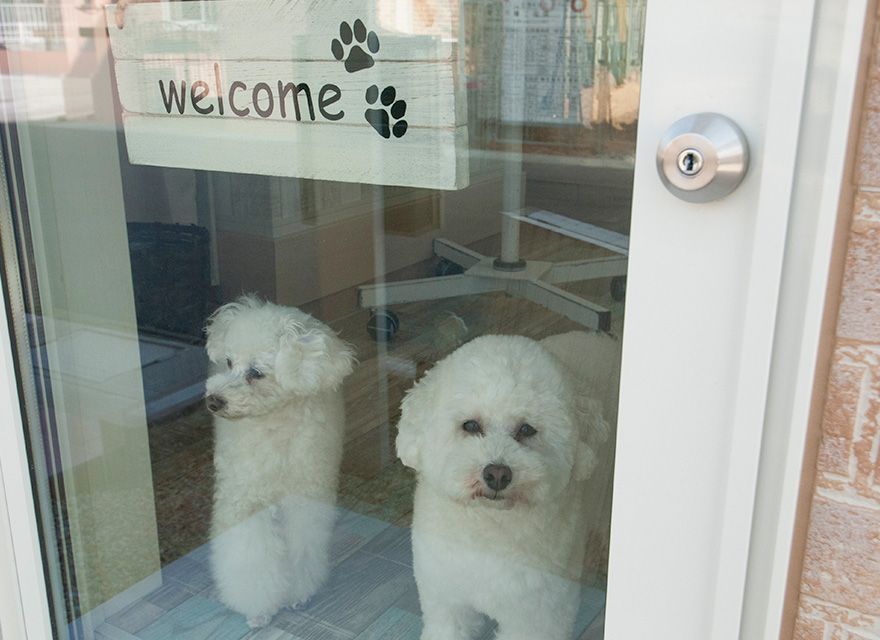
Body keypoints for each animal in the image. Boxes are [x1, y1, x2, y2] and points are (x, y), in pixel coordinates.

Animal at [205, 296, 356, 632]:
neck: (275, 426)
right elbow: (250, 557)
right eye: (229, 362)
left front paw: (298, 594)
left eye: (256, 372)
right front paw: (258, 609)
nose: (214, 401)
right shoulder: (245, 500)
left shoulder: (305, 497)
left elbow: (302, 546)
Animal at [396, 332, 616, 636]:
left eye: (526, 429)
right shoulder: (447, 598)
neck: (488, 528)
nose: (497, 474)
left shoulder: (538, 616)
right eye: (470, 426)